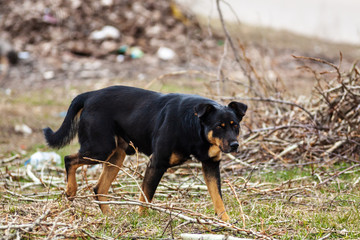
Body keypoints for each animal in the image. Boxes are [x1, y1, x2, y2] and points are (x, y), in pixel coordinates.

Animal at [43, 85, 248, 221]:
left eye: (235, 126)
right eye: (219, 126)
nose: (234, 145)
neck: (194, 126)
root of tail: (90, 95)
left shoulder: (211, 165)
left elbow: (217, 197)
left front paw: (227, 222)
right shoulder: (157, 163)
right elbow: (146, 196)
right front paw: (142, 219)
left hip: (115, 157)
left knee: (99, 188)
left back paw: (109, 216)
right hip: (99, 149)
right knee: (69, 159)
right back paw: (71, 190)